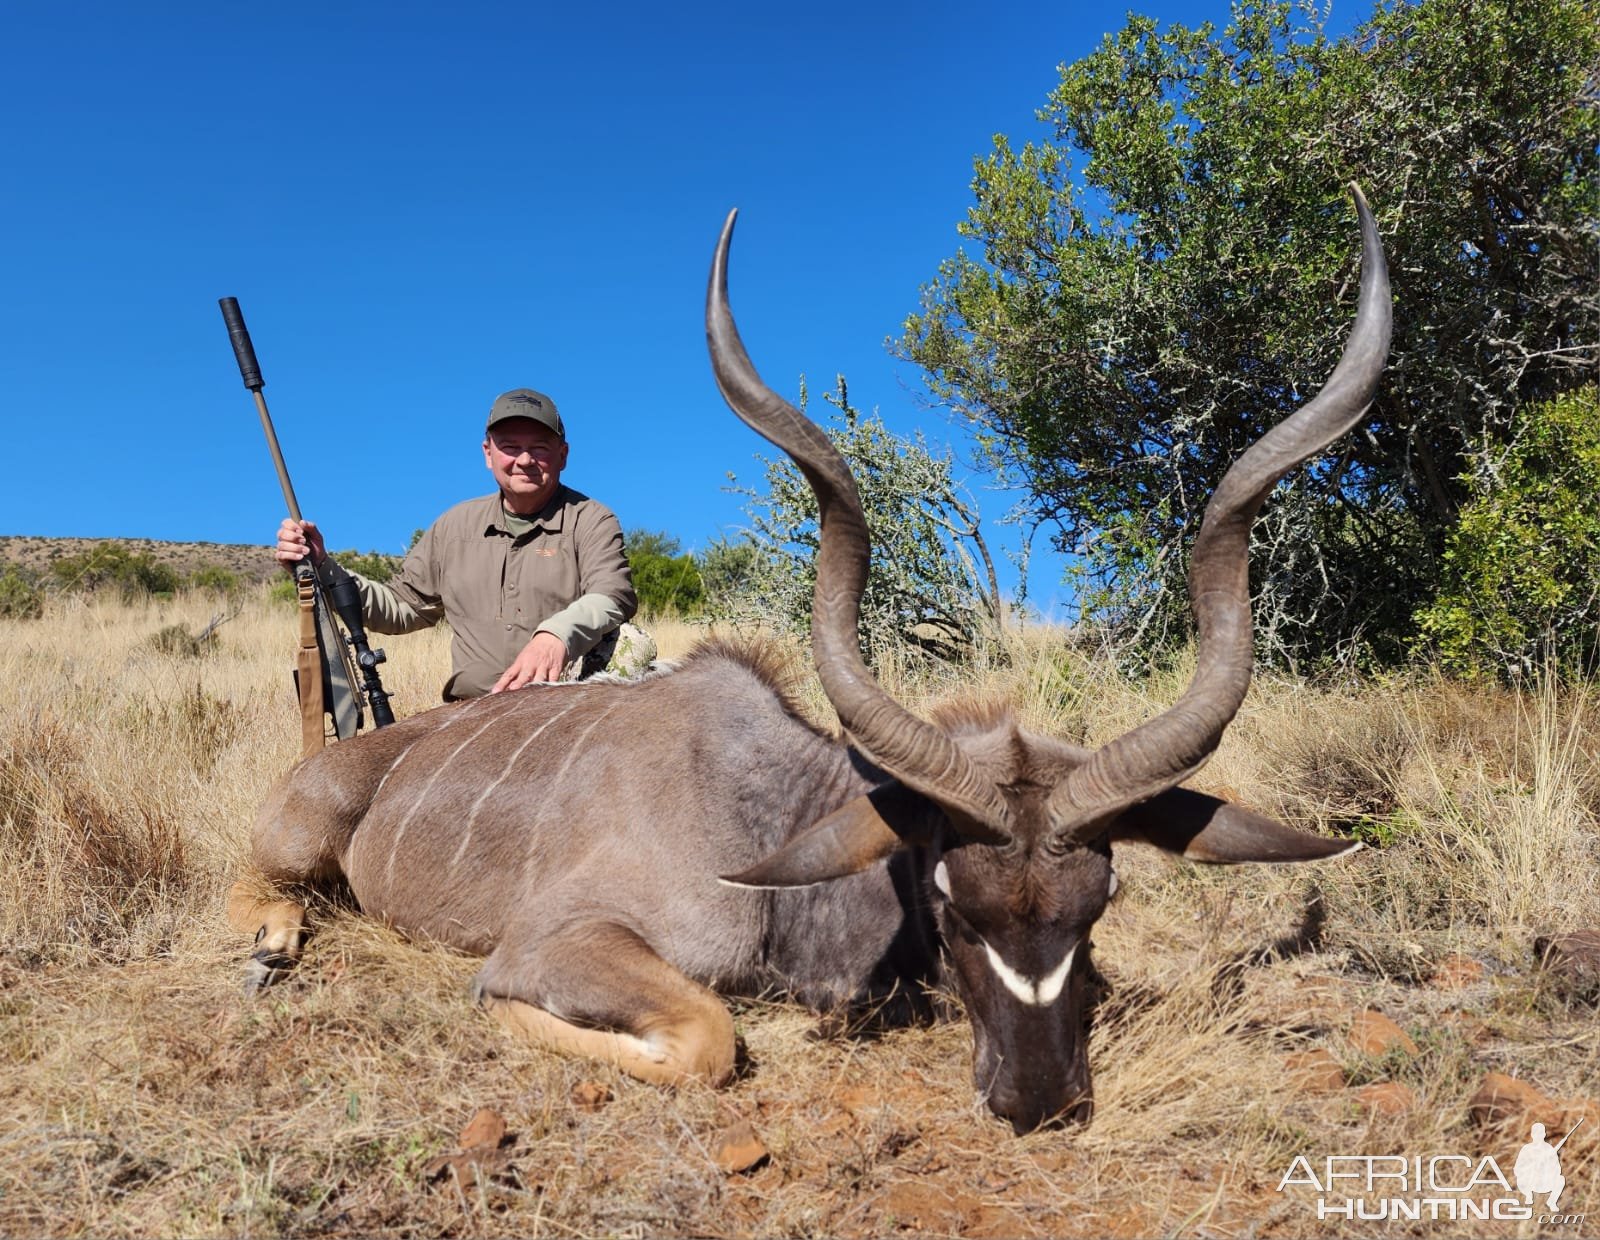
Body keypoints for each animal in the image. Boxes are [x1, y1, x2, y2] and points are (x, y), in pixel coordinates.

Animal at [232, 181, 1395, 1132]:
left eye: (1096, 906)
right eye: (952, 906)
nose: (1036, 1098)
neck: (761, 818)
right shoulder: (555, 943)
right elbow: (706, 1036)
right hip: (296, 837)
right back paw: (271, 943)